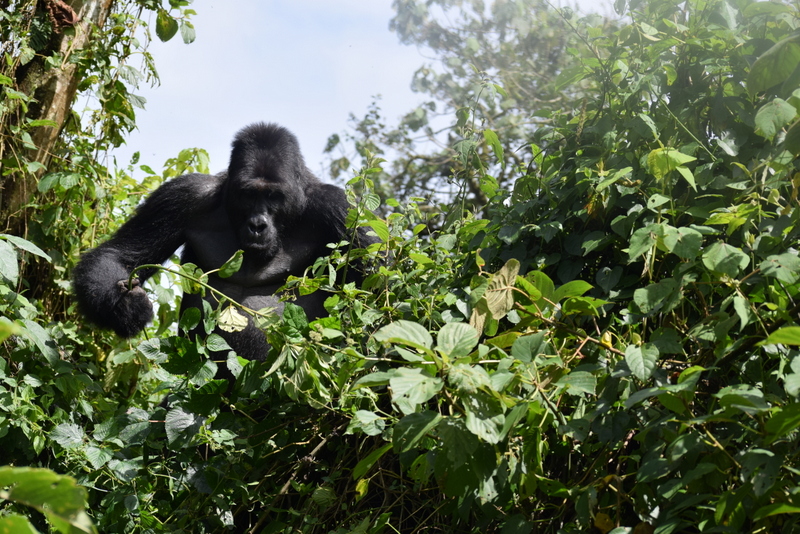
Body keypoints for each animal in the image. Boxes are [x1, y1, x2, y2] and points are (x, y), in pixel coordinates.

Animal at [75, 123, 376, 362]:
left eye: (274, 196)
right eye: (248, 195)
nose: (257, 225)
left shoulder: (340, 209)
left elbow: (375, 292)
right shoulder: (181, 194)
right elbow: (120, 255)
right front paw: (125, 306)